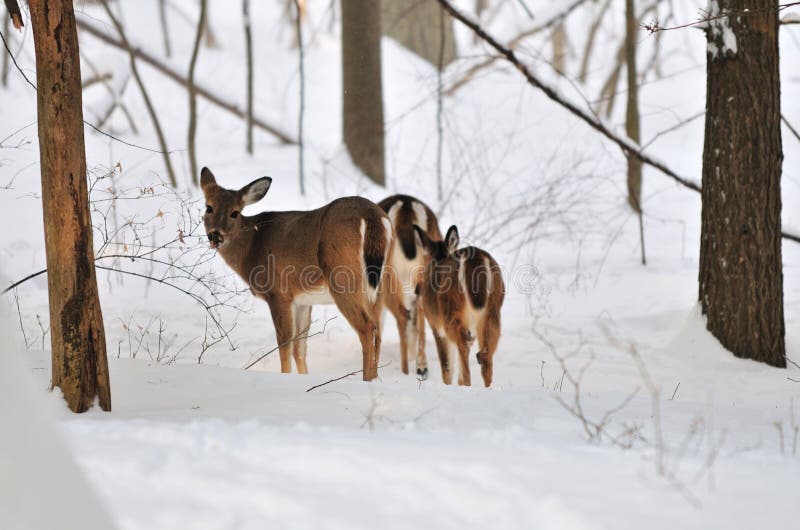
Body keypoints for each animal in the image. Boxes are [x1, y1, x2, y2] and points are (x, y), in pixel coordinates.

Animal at [200, 167, 394, 378]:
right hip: (383, 279)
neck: (252, 247)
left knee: (367, 328)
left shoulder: (278, 293)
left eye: (235, 212)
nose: (215, 235)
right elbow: (299, 348)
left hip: (343, 277)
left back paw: (366, 380)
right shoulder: (302, 300)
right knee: (378, 329)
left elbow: (285, 345)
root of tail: (371, 215)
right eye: (209, 207)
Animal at [376, 194, 444, 380]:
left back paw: (404, 370)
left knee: (402, 316)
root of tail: (406, 207)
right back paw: (421, 367)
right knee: (418, 316)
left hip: (388, 278)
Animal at [416, 222, 504, 384]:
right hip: (493, 310)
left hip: (450, 308)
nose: (417, 289)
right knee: (485, 355)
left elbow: (447, 366)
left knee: (463, 346)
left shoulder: (436, 326)